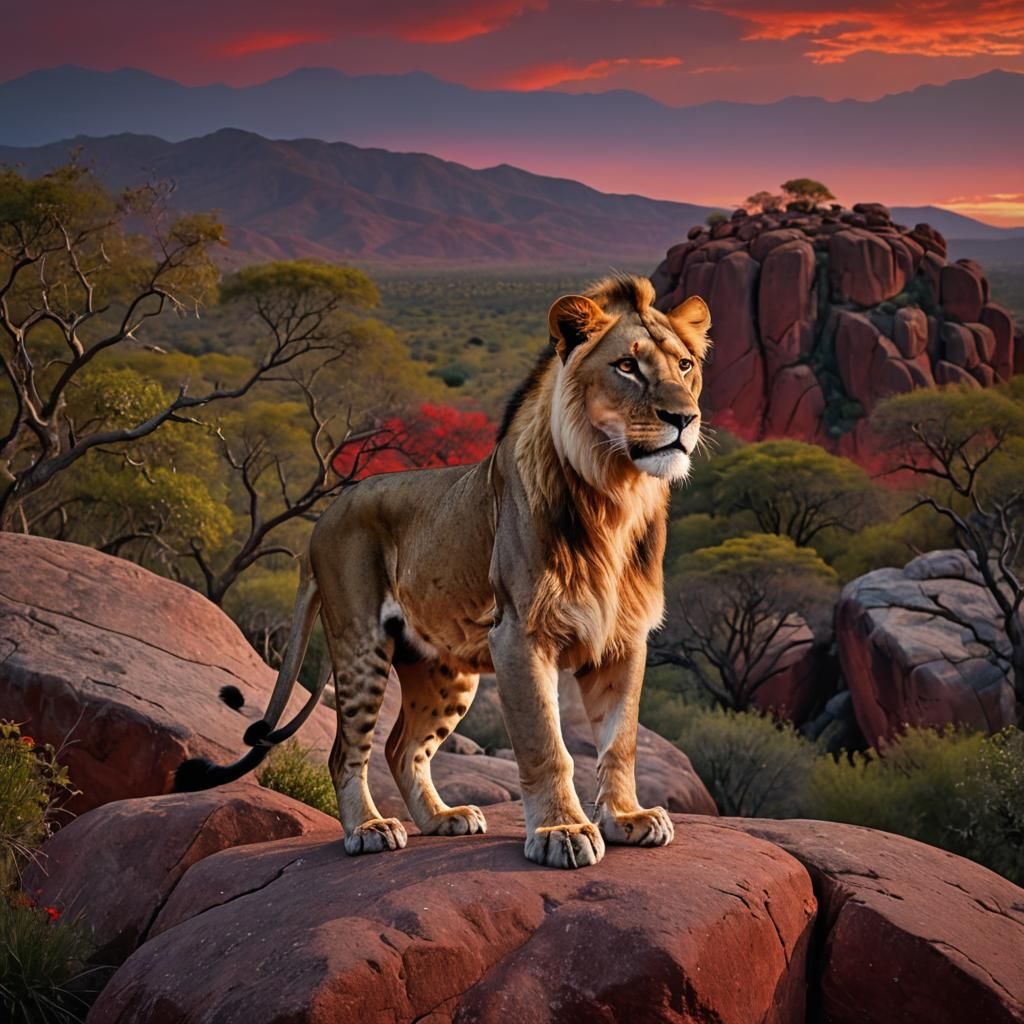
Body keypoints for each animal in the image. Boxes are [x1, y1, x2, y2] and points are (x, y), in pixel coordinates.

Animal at [175, 274, 711, 869]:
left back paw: (443, 818)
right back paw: (369, 829)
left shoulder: (625, 639)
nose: (684, 418)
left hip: (444, 669)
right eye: (627, 366)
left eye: (685, 365)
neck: (615, 495)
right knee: (346, 751)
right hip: (361, 642)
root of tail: (328, 513)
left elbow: (621, 742)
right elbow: (546, 744)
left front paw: (626, 819)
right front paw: (562, 831)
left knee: (400, 747)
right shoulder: (520, 634)